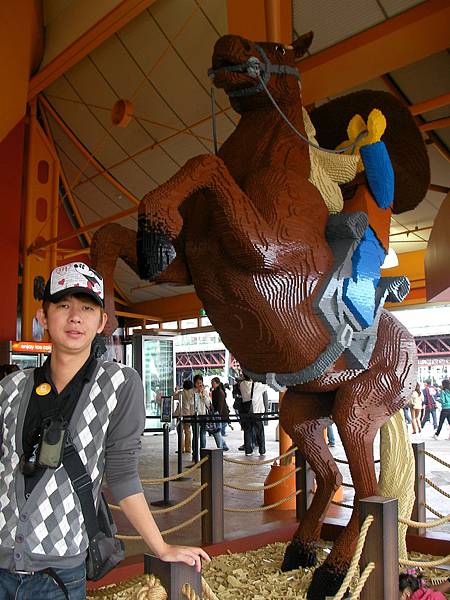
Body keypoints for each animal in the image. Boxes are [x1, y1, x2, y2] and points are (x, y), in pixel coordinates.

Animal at [93, 34, 428, 600]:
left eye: (278, 48)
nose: (229, 44)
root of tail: (410, 354)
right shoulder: (192, 264)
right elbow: (115, 238)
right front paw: (98, 313)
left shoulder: (264, 251)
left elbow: (205, 163)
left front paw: (153, 224)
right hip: (304, 411)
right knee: (333, 479)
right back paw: (299, 551)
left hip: (357, 410)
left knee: (370, 496)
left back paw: (331, 573)